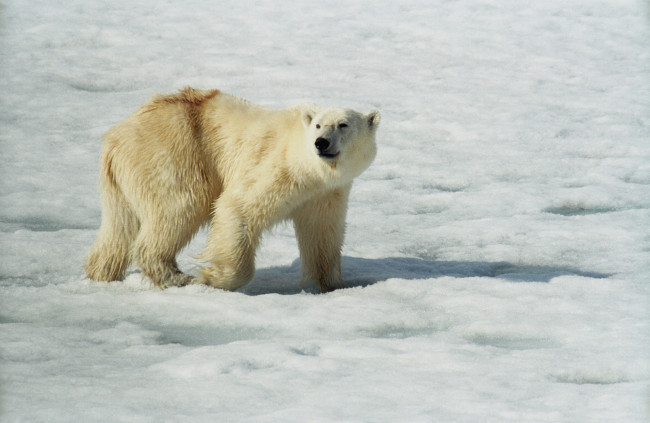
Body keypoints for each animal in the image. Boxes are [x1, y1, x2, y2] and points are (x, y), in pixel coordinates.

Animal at [85, 88, 380, 294]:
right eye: (318, 125)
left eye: (343, 124)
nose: (321, 143)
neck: (310, 169)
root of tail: (115, 138)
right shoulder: (277, 169)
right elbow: (237, 207)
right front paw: (212, 277)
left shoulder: (326, 194)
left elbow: (323, 234)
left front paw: (336, 285)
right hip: (171, 154)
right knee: (181, 206)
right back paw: (177, 277)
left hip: (122, 181)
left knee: (119, 228)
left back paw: (101, 273)